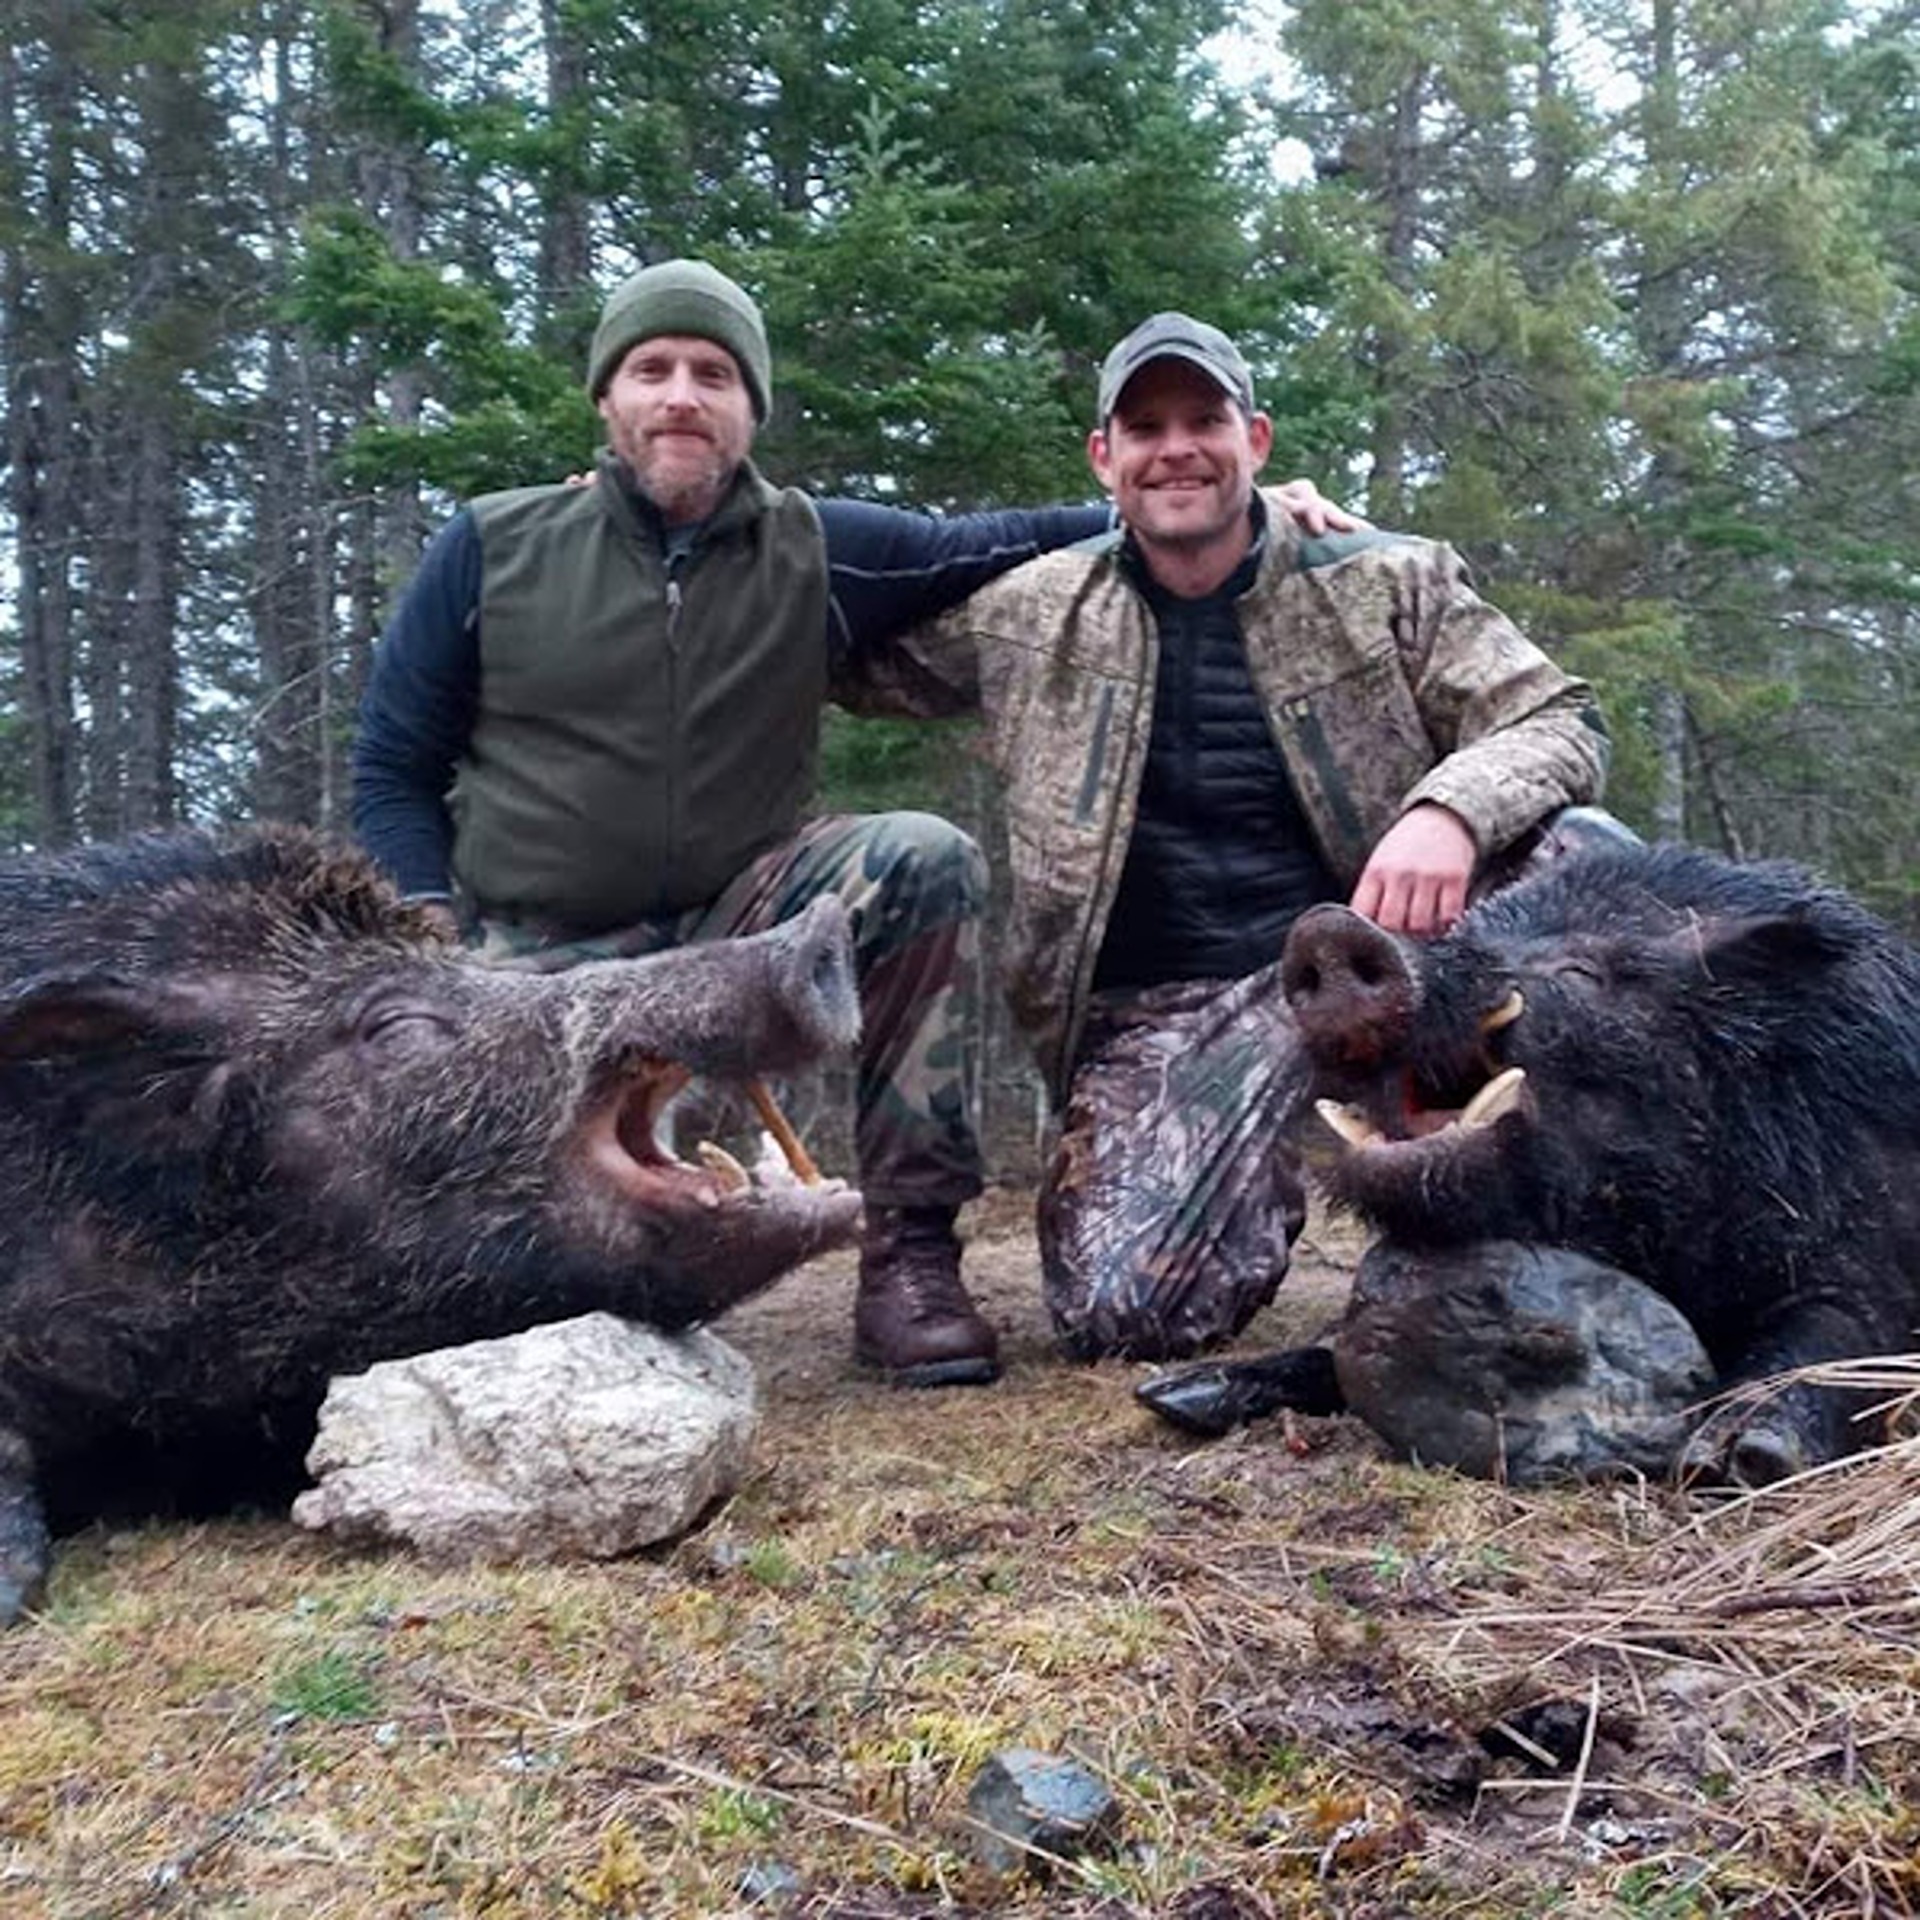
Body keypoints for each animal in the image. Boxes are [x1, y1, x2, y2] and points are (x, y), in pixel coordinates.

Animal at [1145, 841, 1920, 1486]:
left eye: (1583, 971)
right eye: (1466, 934)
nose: (1333, 930)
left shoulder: (1865, 1252)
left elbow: (1833, 1338)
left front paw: (1733, 1457)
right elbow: (1330, 1347)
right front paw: (1178, 1394)